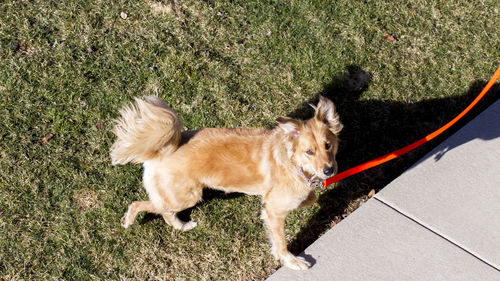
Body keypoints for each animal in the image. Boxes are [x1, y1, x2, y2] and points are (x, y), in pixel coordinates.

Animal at [111, 95, 342, 270]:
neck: (293, 162)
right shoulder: (274, 211)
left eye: (328, 145)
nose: (329, 170)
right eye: (309, 152)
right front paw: (291, 261)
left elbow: (309, 197)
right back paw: (132, 220)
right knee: (145, 205)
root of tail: (162, 149)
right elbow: (281, 242)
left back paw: (181, 226)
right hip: (186, 196)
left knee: (163, 211)